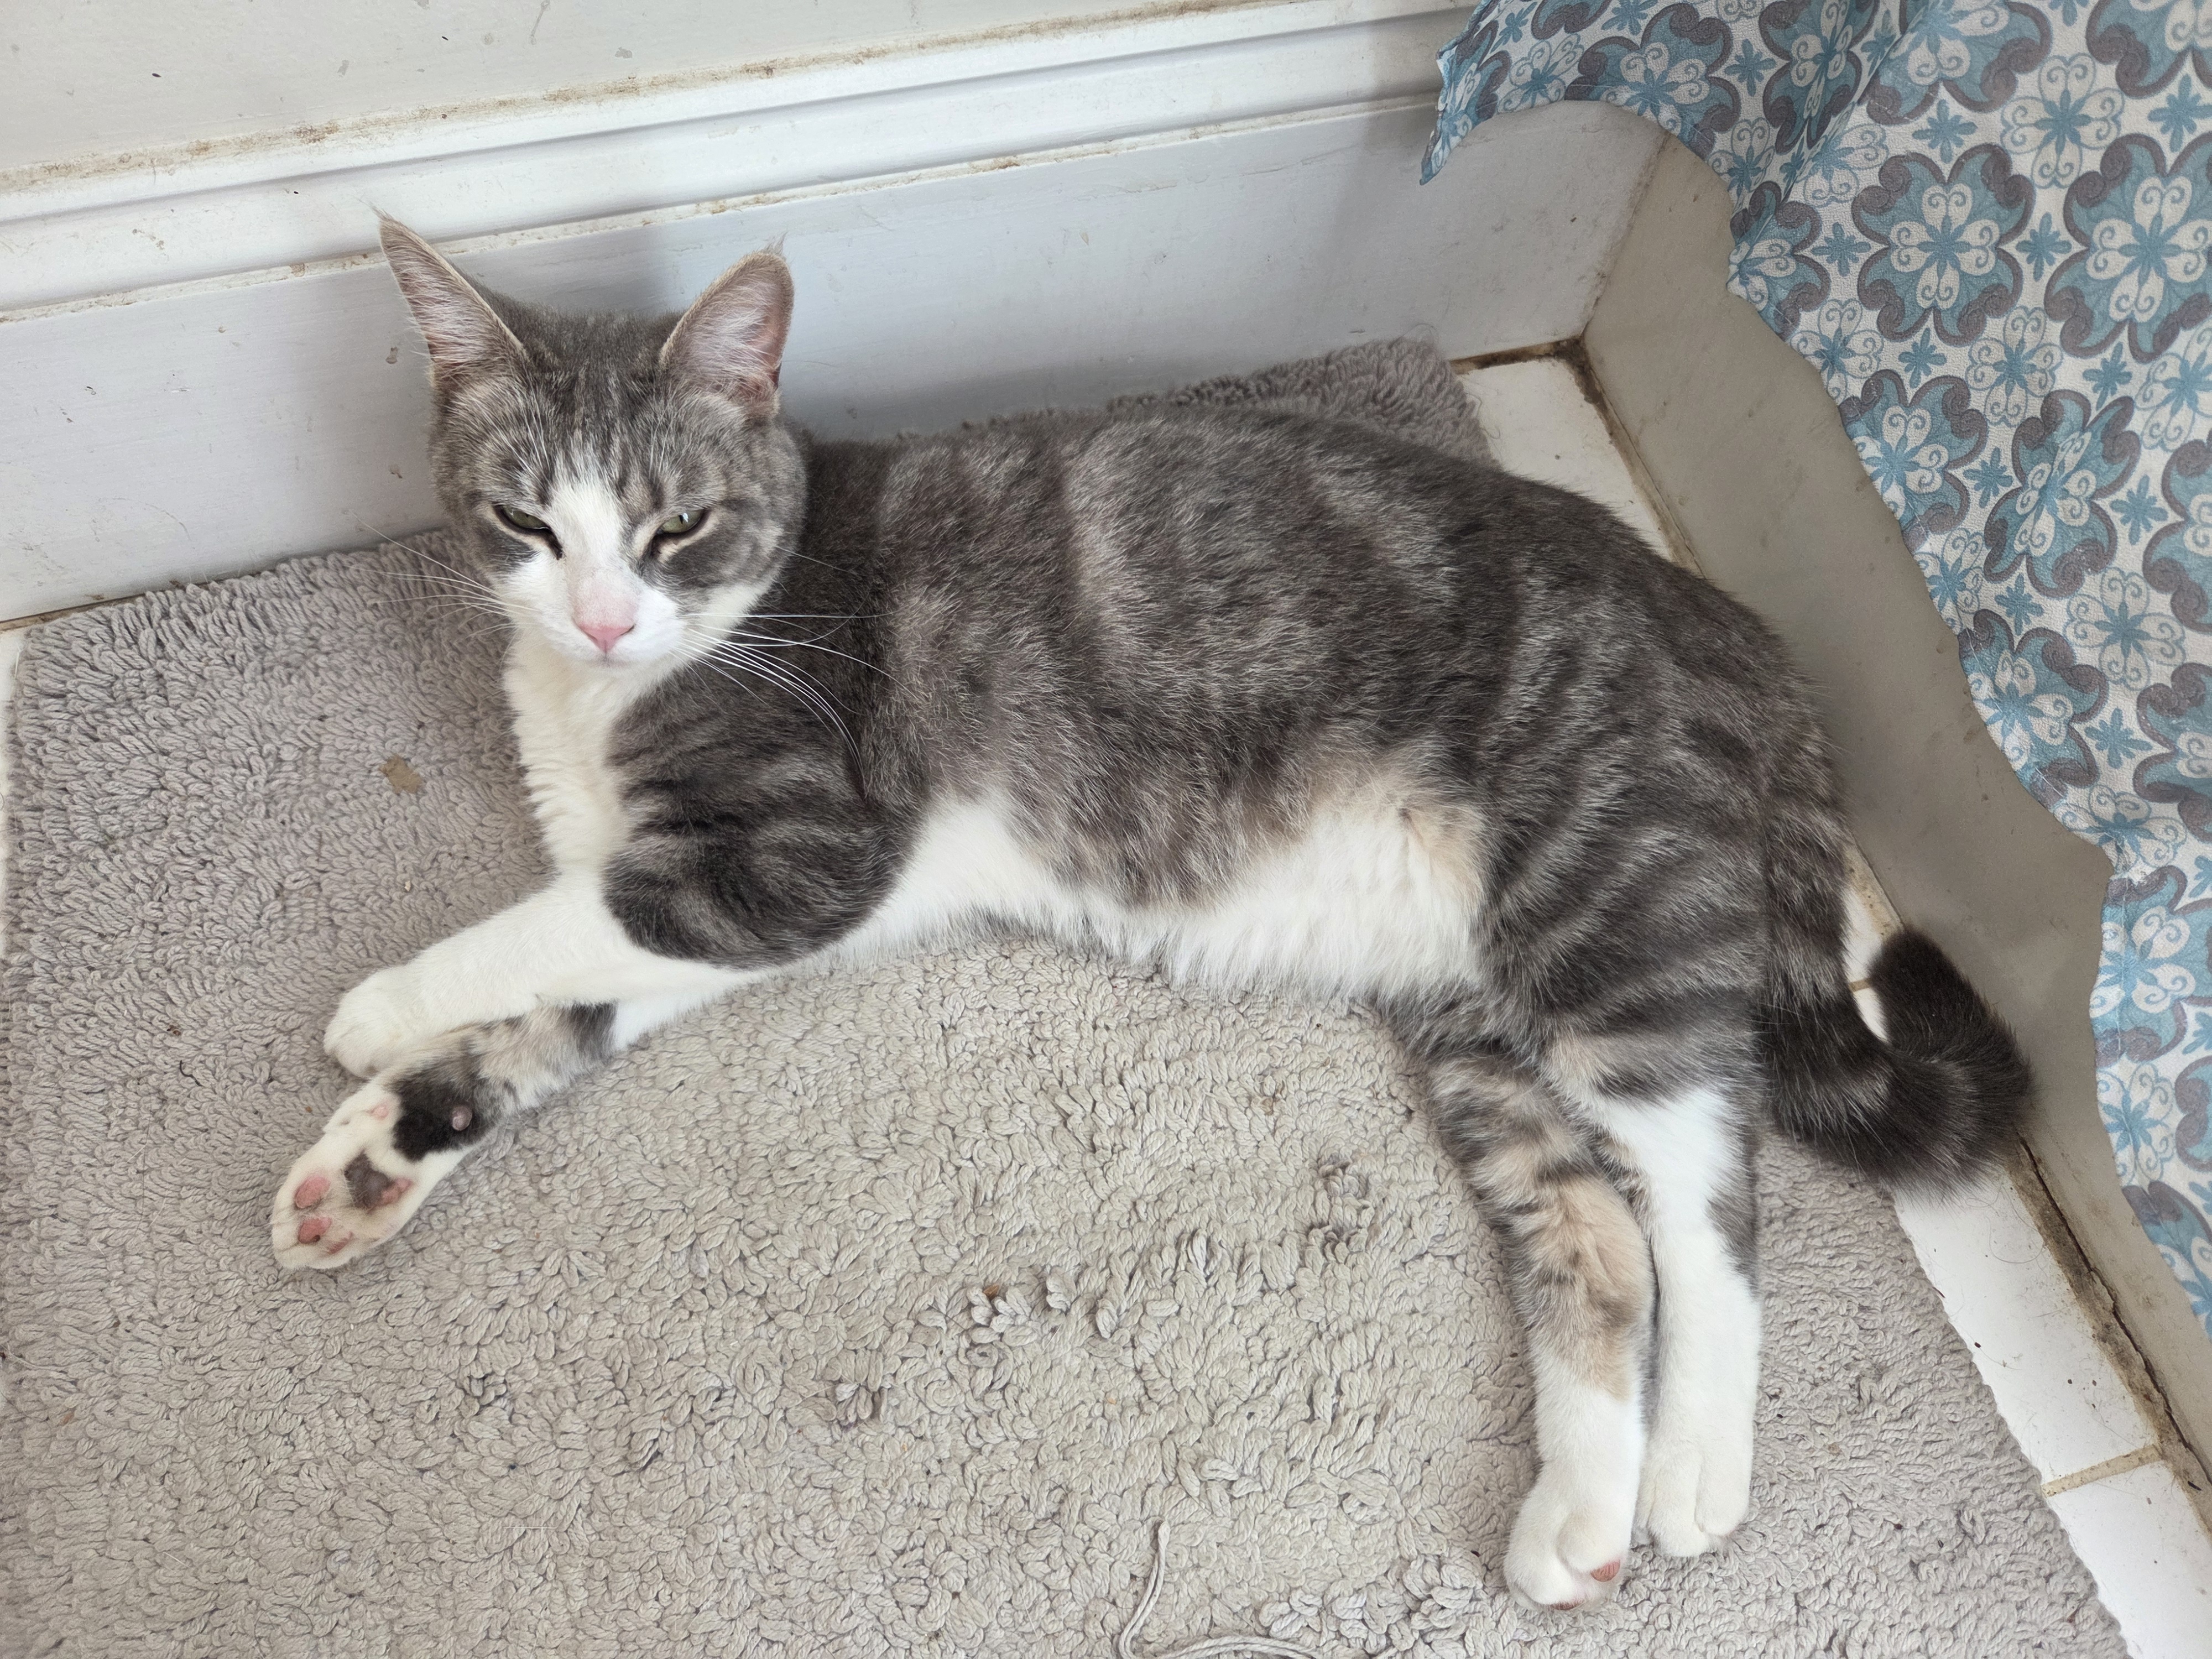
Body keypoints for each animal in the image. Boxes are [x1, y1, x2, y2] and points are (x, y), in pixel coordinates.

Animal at [270, 216, 2030, 1612]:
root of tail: (1717, 613)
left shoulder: (792, 856)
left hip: (1600, 910)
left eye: (675, 528)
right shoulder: (715, 906)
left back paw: (1691, 1467)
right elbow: (561, 995)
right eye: (526, 524)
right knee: (1593, 1227)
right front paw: (378, 1152)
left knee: (1710, 1186)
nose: (602, 617)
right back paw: (1579, 1513)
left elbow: (537, 930)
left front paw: (379, 1002)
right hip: (1477, 1011)